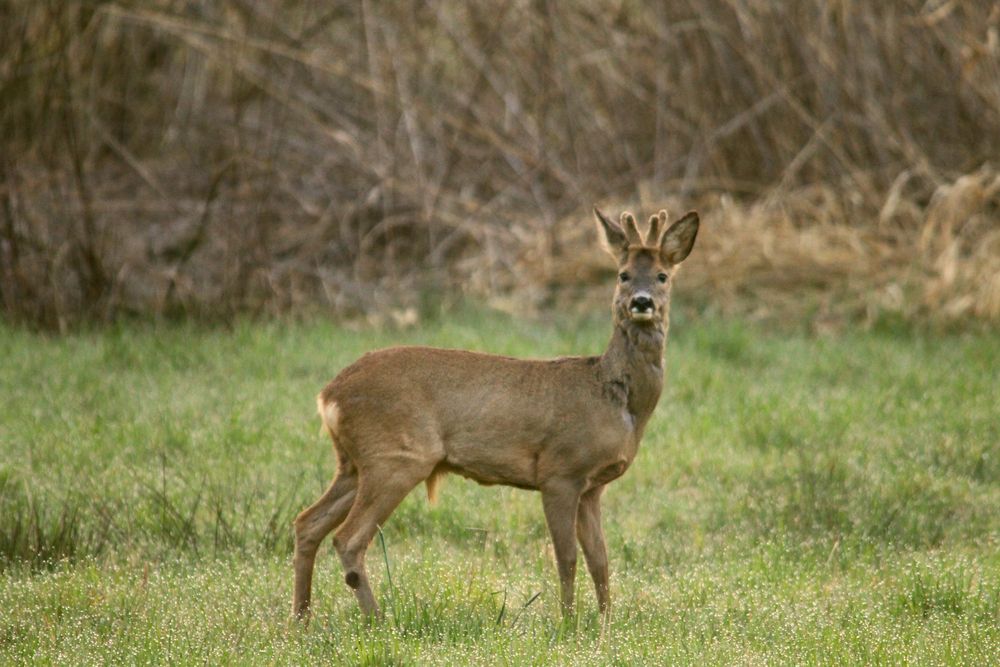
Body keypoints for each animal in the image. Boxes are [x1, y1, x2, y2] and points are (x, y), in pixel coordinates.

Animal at [290, 206, 700, 620]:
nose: (642, 302)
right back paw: (377, 620)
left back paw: (301, 620)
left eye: (663, 275)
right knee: (348, 538)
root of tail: (328, 394)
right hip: (396, 456)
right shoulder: (560, 471)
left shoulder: (592, 487)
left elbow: (599, 560)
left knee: (307, 522)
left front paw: (605, 621)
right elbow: (566, 557)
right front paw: (568, 622)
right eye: (623, 274)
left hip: (354, 463)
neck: (613, 395)